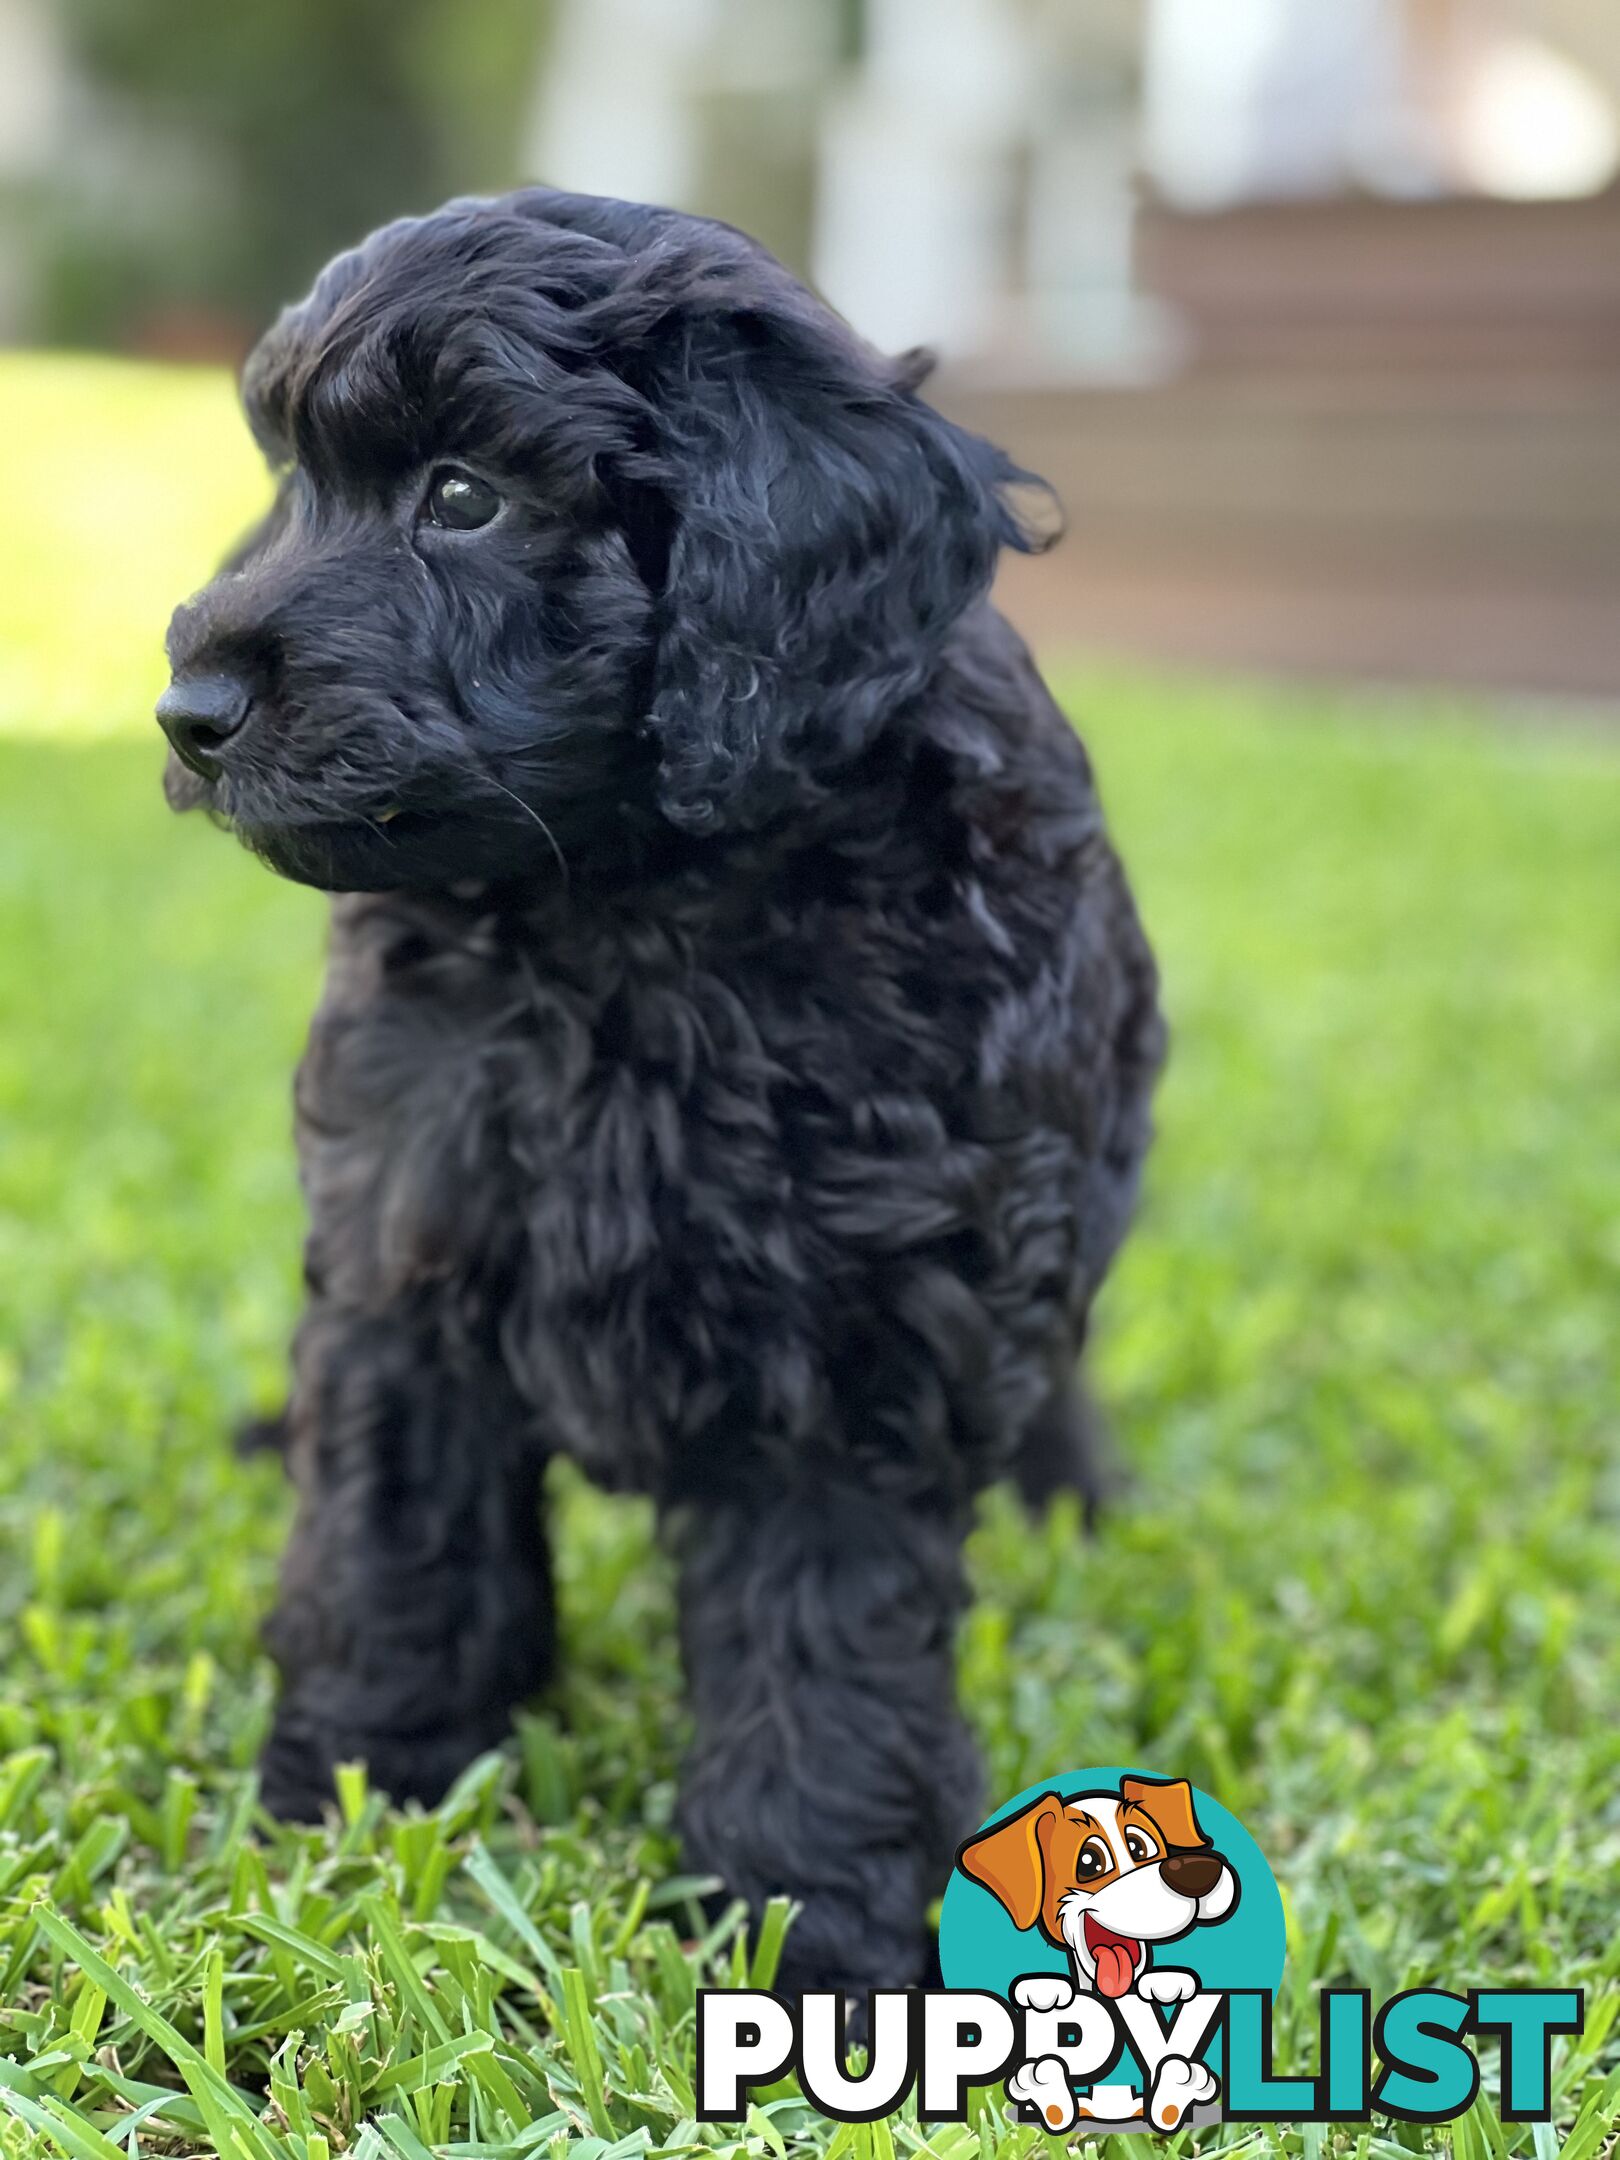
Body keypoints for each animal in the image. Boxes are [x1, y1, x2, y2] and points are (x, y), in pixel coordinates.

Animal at [162, 185, 1166, 1987]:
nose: (185, 711)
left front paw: (821, 1925)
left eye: (466, 497)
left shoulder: (873, 1325)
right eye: (292, 483)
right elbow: (396, 1539)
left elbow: (823, 1639)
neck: (622, 915)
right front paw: (351, 1806)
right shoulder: (408, 1235)